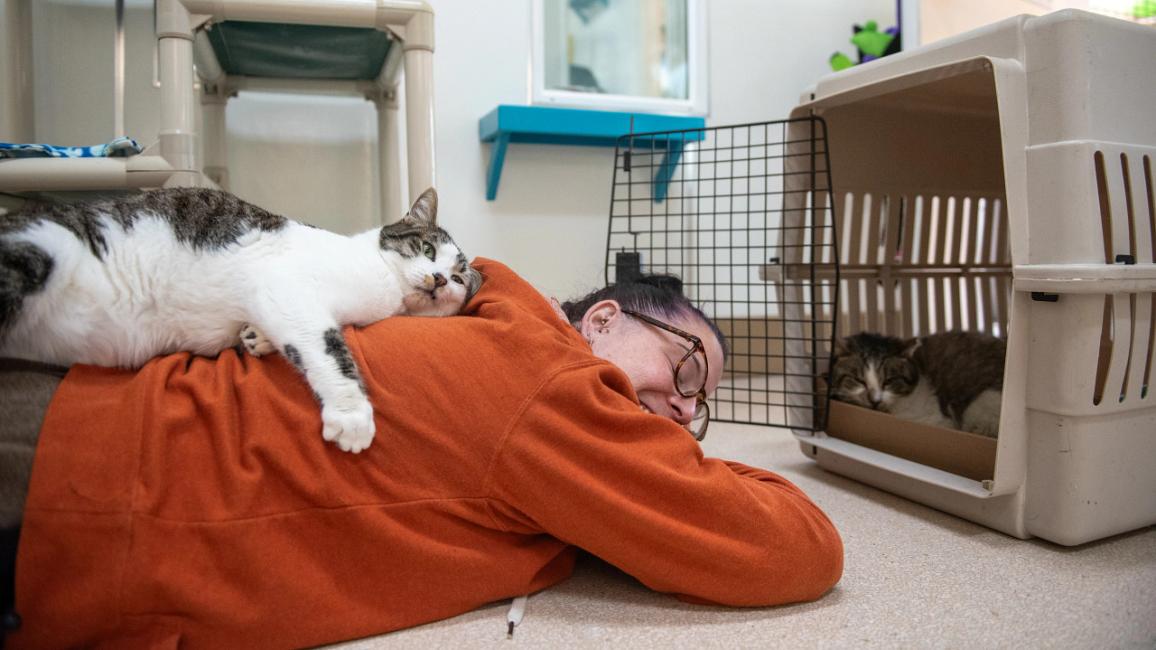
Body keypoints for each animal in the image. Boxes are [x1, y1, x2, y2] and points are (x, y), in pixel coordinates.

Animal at [0, 186, 478, 451]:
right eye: (427, 249)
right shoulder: (286, 290)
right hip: (41, 252)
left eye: (459, 278)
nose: (440, 279)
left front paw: (255, 338)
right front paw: (351, 414)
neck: (383, 291)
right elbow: (328, 347)